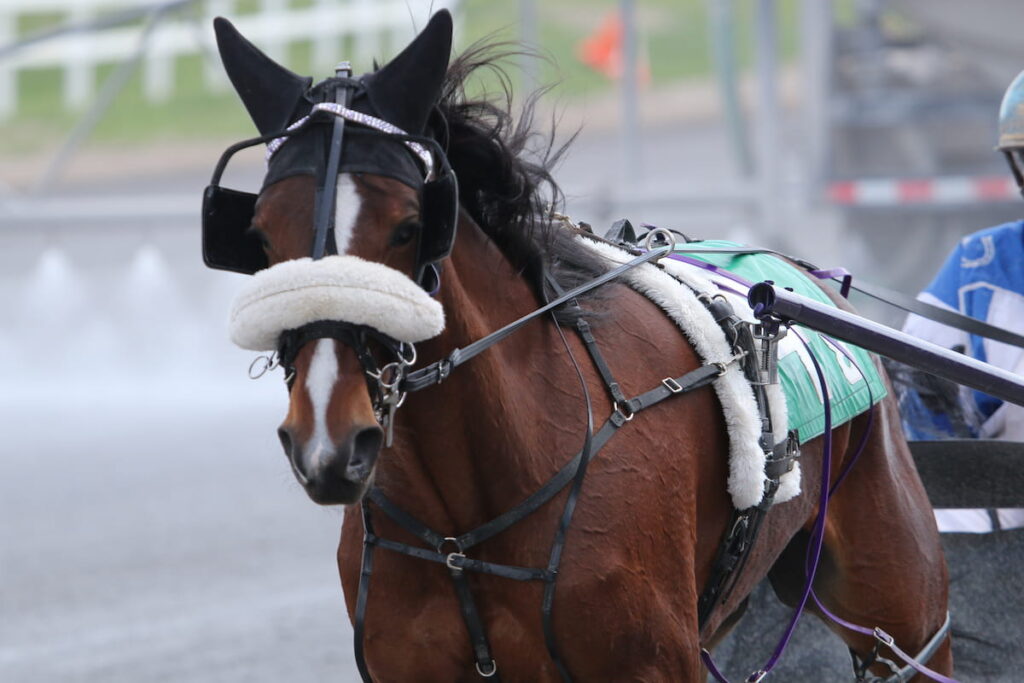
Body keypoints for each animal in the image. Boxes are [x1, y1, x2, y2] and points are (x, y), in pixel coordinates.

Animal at [203, 10, 954, 683]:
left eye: (408, 227)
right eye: (262, 236)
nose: (328, 442)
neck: (464, 525)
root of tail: (808, 281)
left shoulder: (649, 663)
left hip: (903, 612)